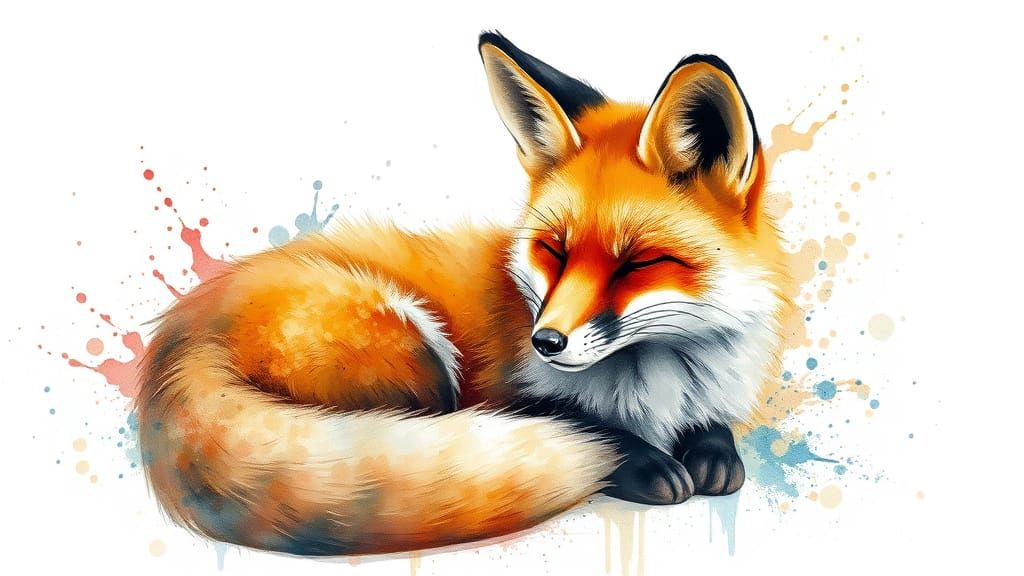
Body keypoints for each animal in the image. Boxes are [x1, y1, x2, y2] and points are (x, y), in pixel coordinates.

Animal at [136, 31, 791, 556]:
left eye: (639, 262)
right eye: (554, 250)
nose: (545, 342)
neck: (663, 382)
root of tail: (178, 335)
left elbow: (716, 438)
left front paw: (711, 454)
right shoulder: (510, 393)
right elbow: (581, 422)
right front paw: (644, 461)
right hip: (416, 347)